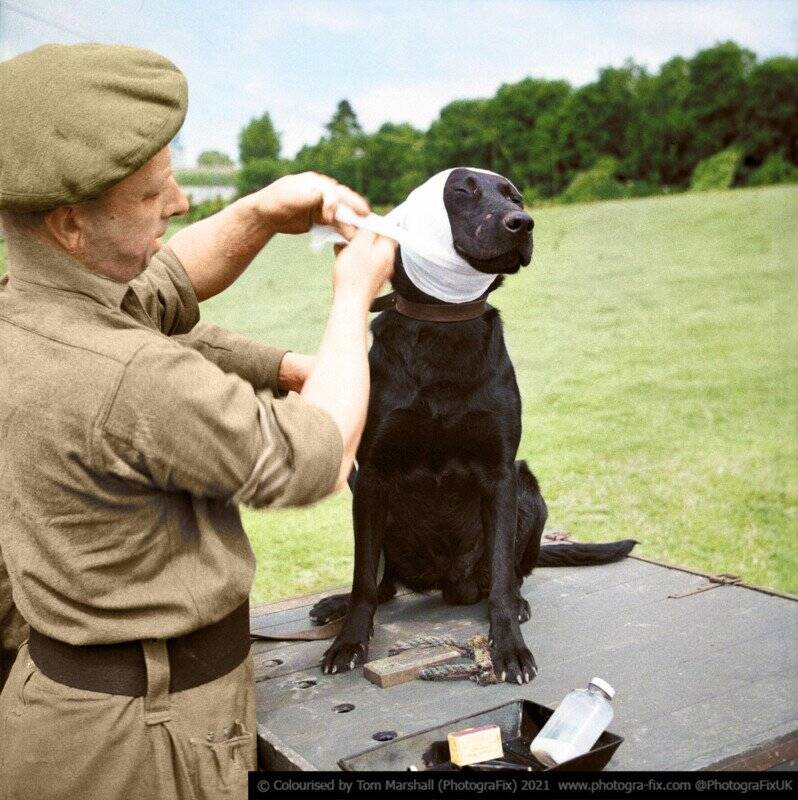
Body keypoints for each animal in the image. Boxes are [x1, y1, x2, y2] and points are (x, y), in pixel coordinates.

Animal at [316, 169, 636, 680]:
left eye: (515, 197)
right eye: (462, 191)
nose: (523, 223)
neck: (445, 327)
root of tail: (446, 582)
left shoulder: (500, 472)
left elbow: (503, 578)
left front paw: (509, 647)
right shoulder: (372, 475)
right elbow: (363, 578)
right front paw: (349, 641)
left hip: (528, 487)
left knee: (509, 574)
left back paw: (517, 601)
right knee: (384, 584)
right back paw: (337, 604)